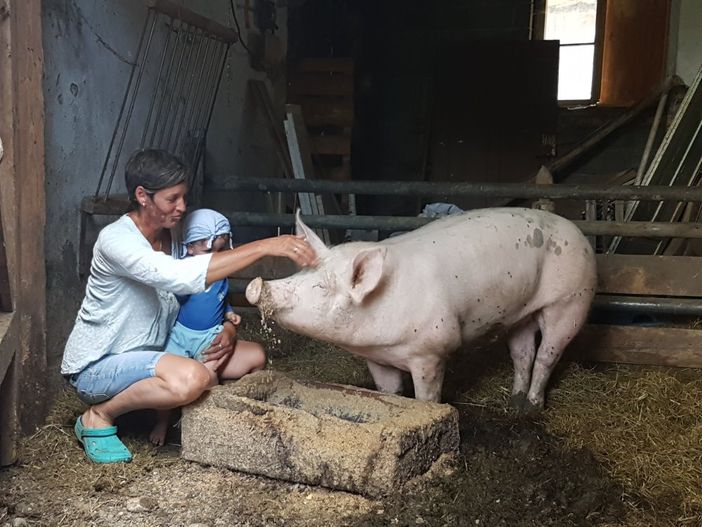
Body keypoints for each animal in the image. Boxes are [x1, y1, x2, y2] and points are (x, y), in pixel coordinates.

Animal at [248, 207, 600, 412]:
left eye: (322, 287)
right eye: (300, 273)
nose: (256, 285)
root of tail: (578, 231)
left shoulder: (431, 350)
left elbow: (426, 397)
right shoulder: (377, 357)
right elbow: (389, 392)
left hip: (572, 300)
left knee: (547, 355)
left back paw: (533, 406)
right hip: (519, 314)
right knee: (523, 353)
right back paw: (514, 402)